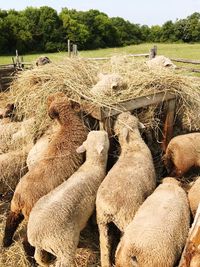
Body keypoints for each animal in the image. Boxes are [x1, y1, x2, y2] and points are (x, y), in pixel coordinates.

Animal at [2, 94, 88, 249]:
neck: (68, 125)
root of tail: (20, 198)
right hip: (32, 217)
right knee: (27, 241)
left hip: (15, 209)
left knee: (10, 223)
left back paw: (6, 242)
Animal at [26, 130, 109, 267]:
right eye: (106, 137)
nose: (105, 132)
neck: (92, 165)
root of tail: (36, 237)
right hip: (64, 246)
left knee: (38, 256)